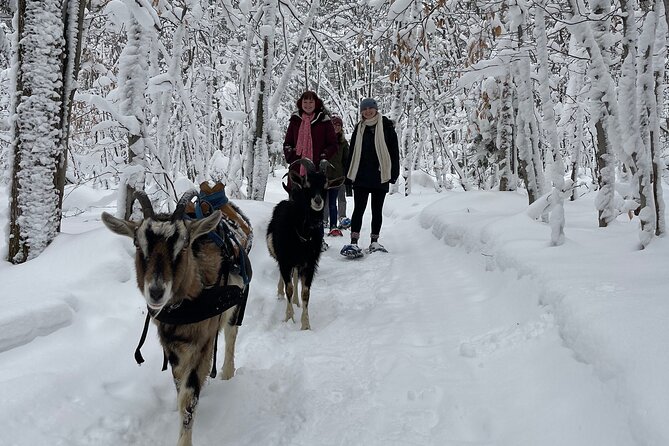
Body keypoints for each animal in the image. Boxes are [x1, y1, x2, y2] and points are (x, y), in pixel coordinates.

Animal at [102, 191, 250, 446]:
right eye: (138, 243)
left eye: (184, 244)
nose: (156, 291)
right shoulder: (172, 346)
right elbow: (180, 386)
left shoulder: (203, 342)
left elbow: (188, 399)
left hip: (236, 306)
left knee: (231, 336)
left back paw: (227, 373)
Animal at [264, 159, 342, 330]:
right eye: (307, 185)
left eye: (326, 186)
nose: (318, 201)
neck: (303, 234)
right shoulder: (285, 260)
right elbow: (289, 288)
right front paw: (289, 318)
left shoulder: (309, 263)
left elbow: (305, 292)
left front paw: (305, 325)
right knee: (285, 279)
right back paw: (281, 295)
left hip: (297, 263)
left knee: (294, 278)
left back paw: (296, 302)